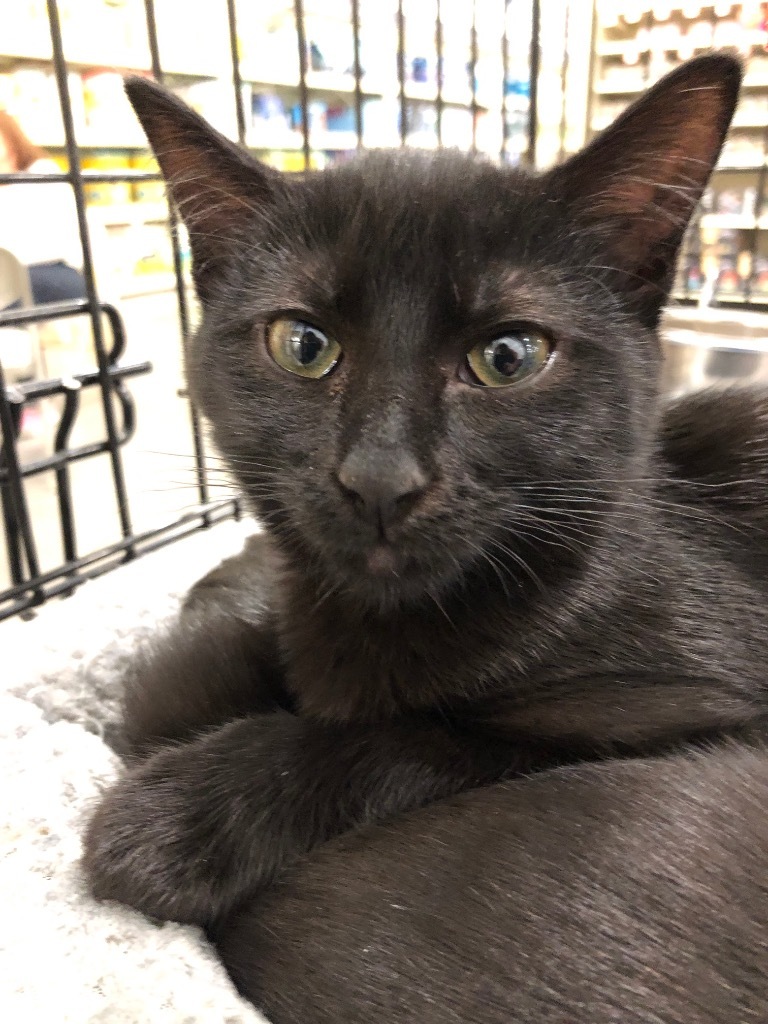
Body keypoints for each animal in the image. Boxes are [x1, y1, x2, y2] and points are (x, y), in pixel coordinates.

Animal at [82, 58, 768, 1024]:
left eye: (509, 356)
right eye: (302, 345)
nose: (379, 476)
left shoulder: (708, 709)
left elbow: (425, 741)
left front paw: (178, 818)